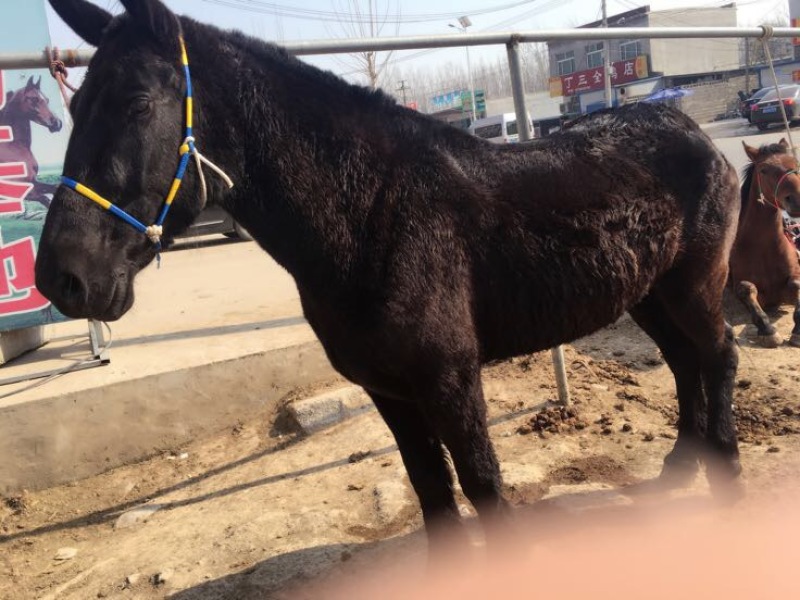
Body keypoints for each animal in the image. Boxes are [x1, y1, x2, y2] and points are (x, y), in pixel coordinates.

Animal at [0, 75, 63, 209]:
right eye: (34, 99)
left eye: (47, 100)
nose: (57, 123)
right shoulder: (21, 190)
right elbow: (45, 199)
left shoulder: (34, 182)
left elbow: (54, 188)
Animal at [37, 0, 745, 552]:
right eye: (78, 109)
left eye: (136, 103)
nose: (60, 277)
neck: (373, 212)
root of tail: (690, 126)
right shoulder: (388, 389)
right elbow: (432, 492)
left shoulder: (450, 378)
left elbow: (483, 486)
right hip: (648, 292)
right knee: (683, 360)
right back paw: (682, 466)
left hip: (693, 284)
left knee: (717, 354)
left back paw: (728, 476)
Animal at [730, 139, 800, 348]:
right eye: (764, 170)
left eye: (795, 163)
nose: (797, 199)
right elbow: (746, 289)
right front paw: (767, 329)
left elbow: (795, 284)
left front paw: (797, 331)